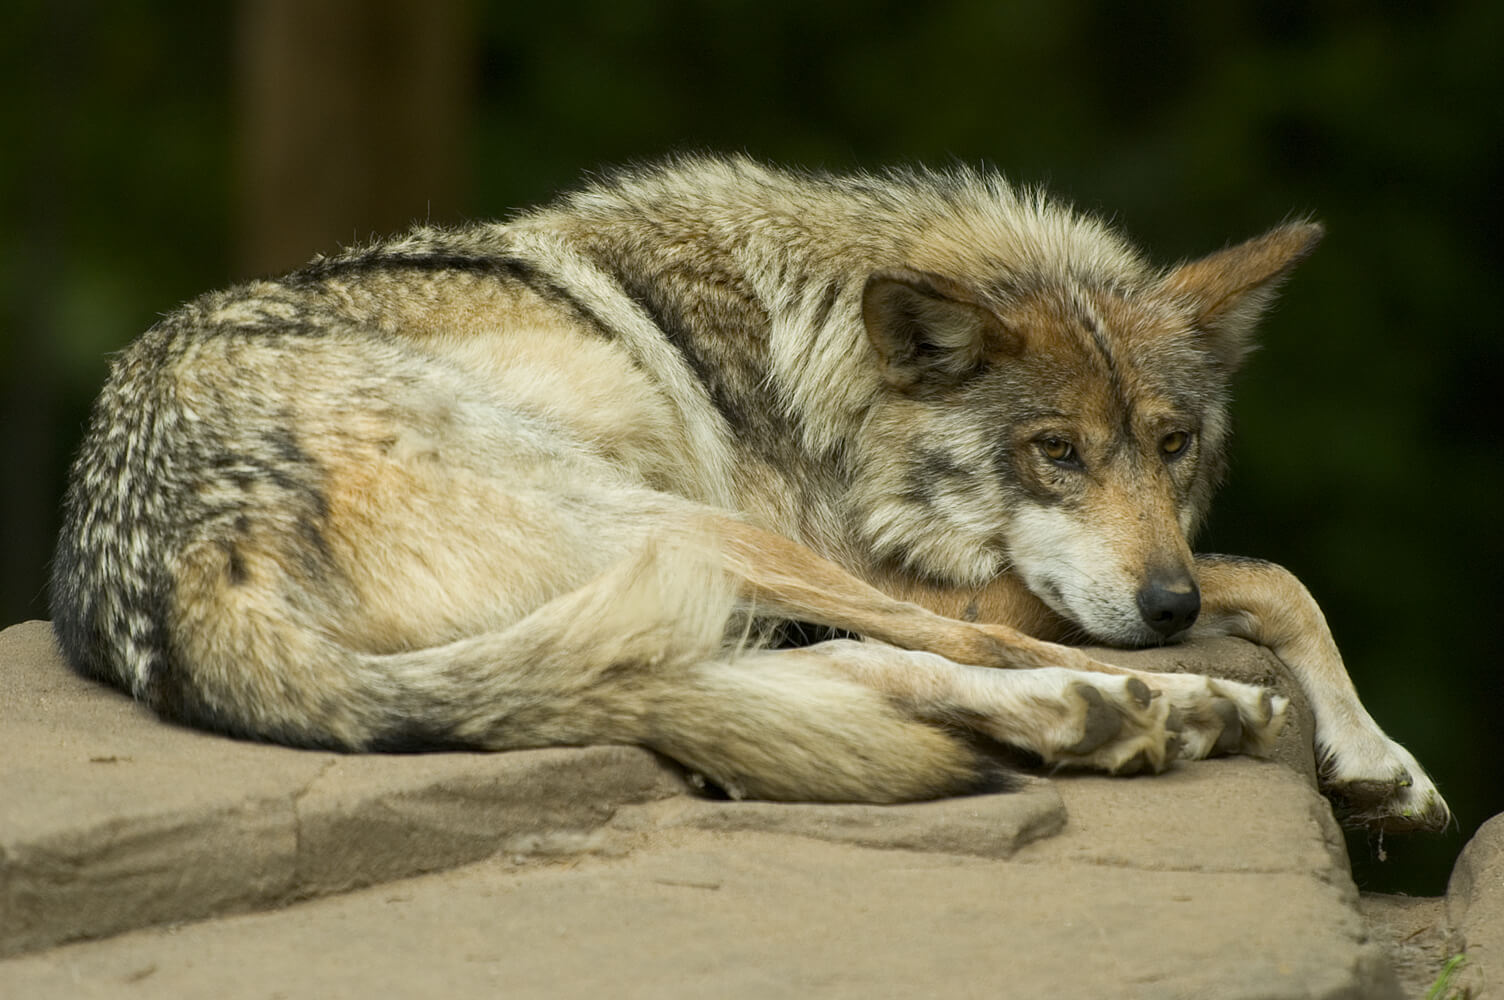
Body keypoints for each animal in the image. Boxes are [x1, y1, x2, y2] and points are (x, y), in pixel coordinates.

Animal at [53, 156, 1449, 824]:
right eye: (1054, 451)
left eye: (1170, 446)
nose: (1161, 607)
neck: (814, 362)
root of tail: (181, 560)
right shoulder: (914, 567)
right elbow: (1266, 572)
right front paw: (1363, 748)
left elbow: (1275, 577)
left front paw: (1379, 763)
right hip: (697, 529)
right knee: (947, 649)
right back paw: (1162, 705)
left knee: (803, 673)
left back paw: (1100, 714)